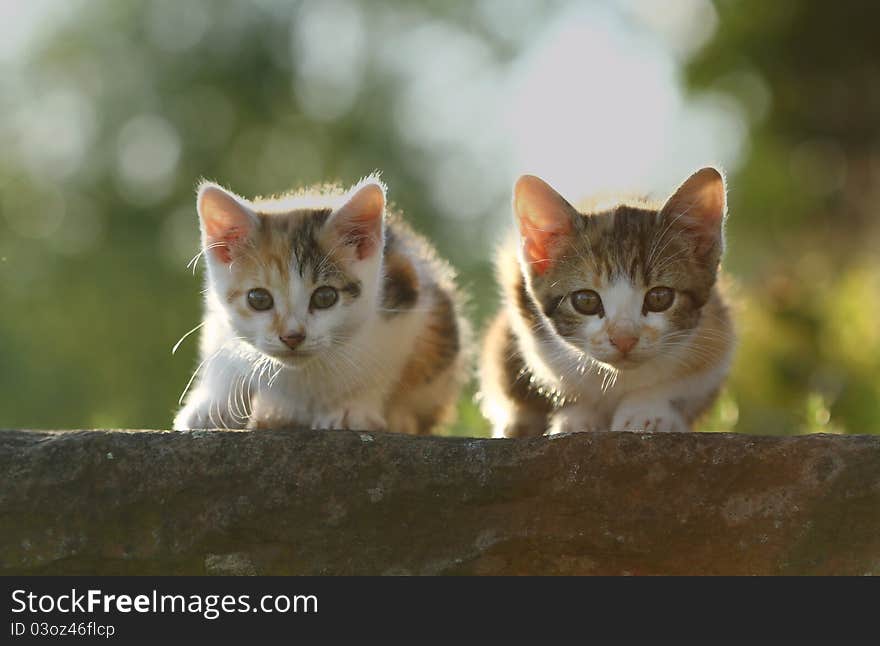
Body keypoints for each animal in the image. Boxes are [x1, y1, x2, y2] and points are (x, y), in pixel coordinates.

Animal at [174, 175, 470, 436]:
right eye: (259, 299)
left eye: (325, 297)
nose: (292, 336)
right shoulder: (218, 319)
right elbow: (222, 353)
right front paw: (213, 406)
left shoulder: (407, 302)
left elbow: (387, 368)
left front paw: (352, 407)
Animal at [482, 170, 736, 438]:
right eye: (586, 301)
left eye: (659, 298)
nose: (624, 339)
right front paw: (577, 416)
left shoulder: (717, 328)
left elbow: (692, 379)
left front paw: (647, 410)